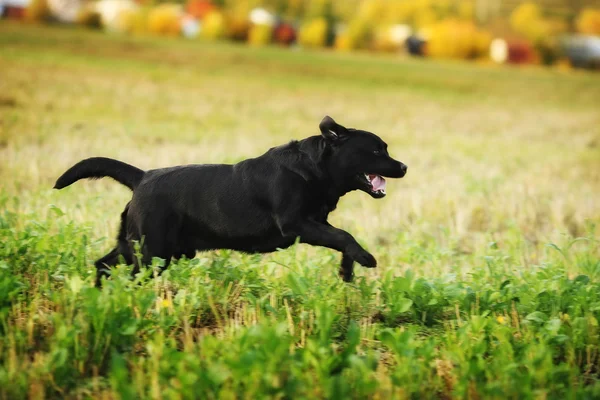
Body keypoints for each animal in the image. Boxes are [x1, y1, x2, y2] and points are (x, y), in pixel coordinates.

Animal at [54, 116, 408, 288]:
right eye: (377, 150)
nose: (404, 167)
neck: (314, 168)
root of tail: (142, 176)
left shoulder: (316, 223)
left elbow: (341, 238)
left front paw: (347, 270)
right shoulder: (297, 224)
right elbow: (344, 235)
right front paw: (366, 258)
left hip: (138, 247)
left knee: (102, 265)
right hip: (151, 252)